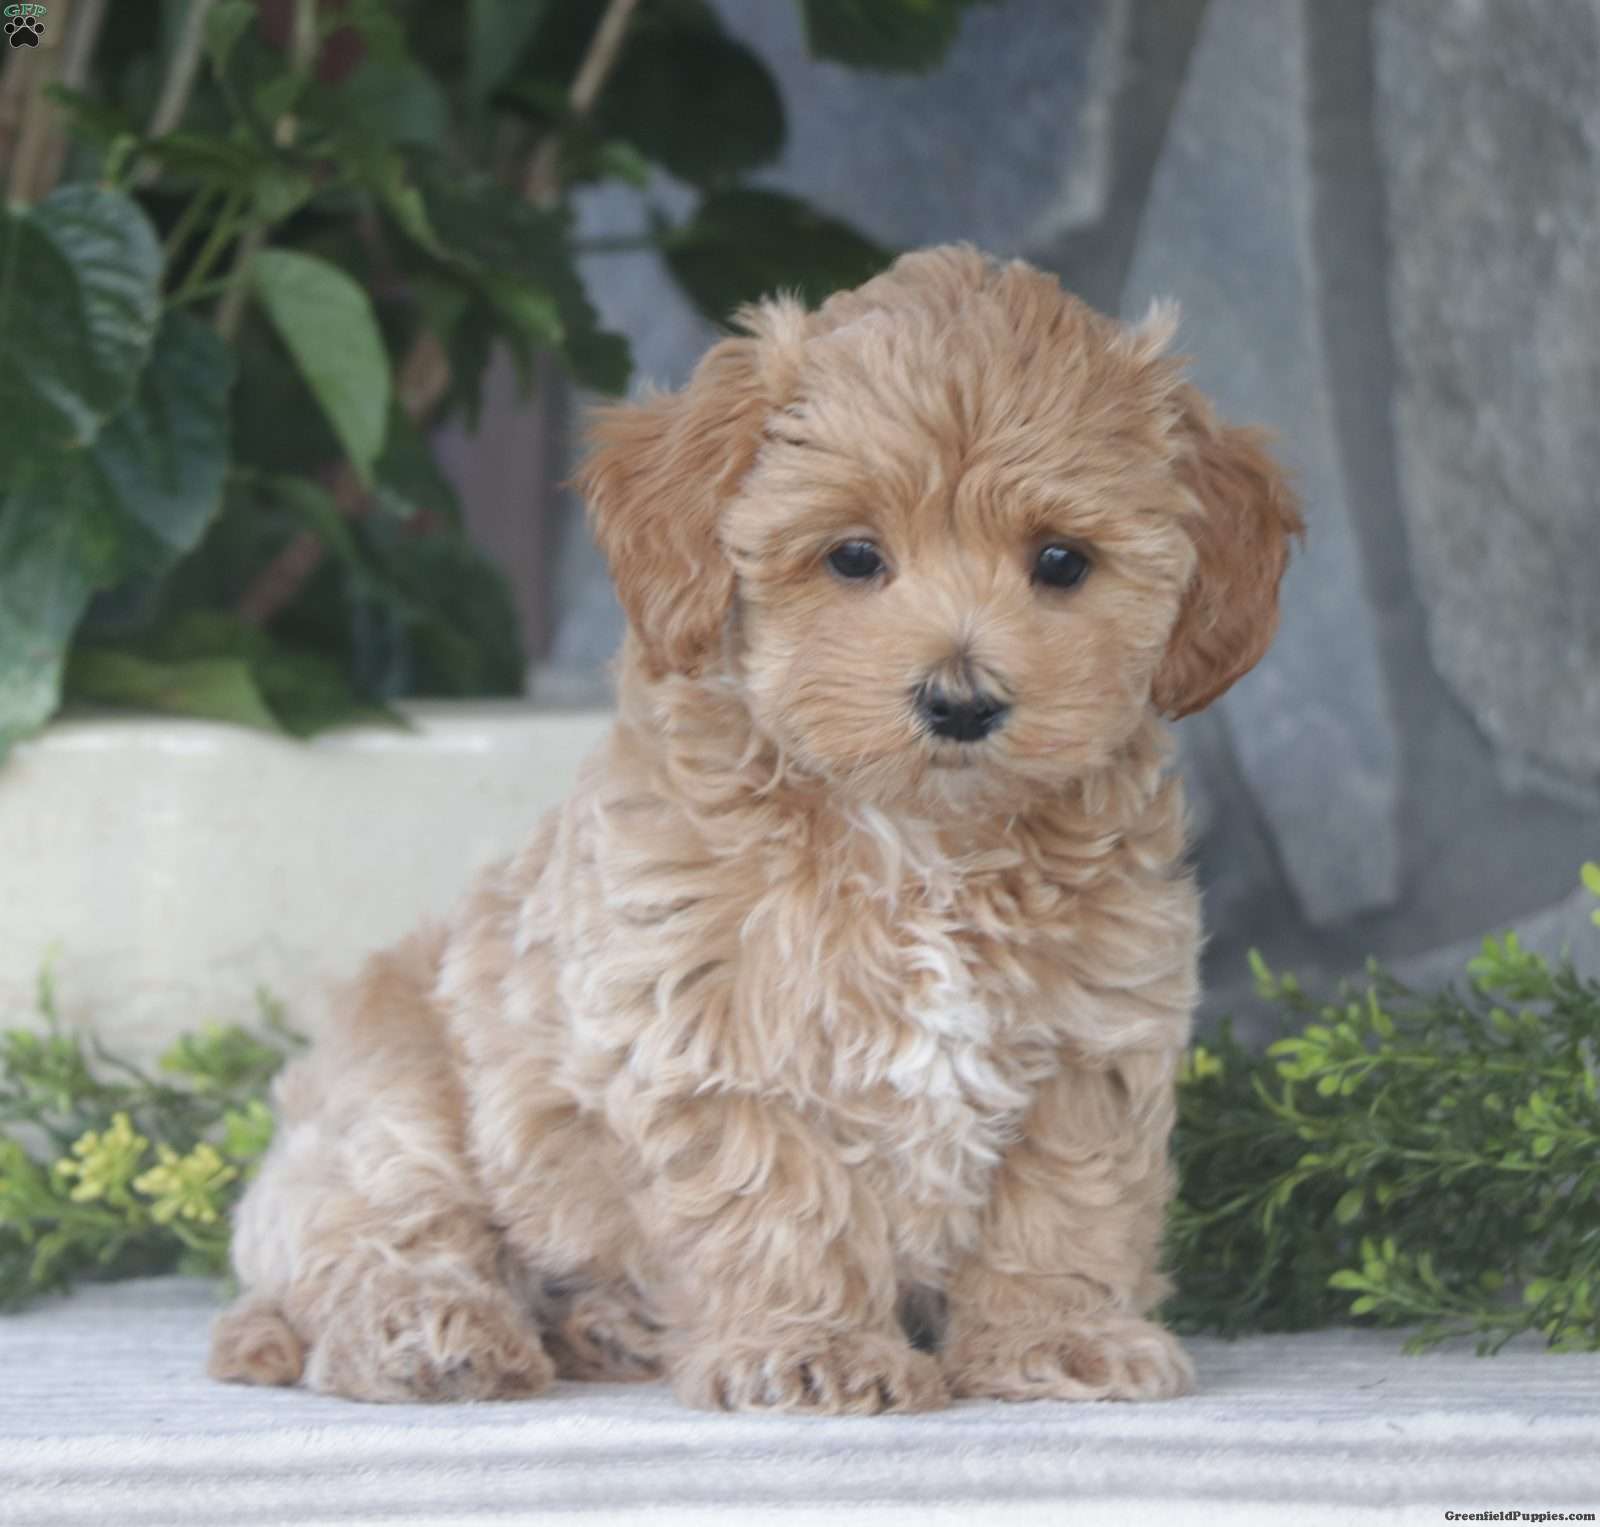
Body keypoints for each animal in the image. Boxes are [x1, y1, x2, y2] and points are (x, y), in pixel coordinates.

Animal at [209, 243, 1299, 1408]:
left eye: (1061, 562)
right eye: (853, 556)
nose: (961, 702)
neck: (919, 843)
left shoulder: (1089, 1048)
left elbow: (1061, 1209)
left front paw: (1055, 1339)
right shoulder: (711, 1039)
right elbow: (780, 1202)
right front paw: (811, 1350)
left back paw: (603, 1327)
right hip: (388, 1102)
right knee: (383, 1239)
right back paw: (431, 1333)